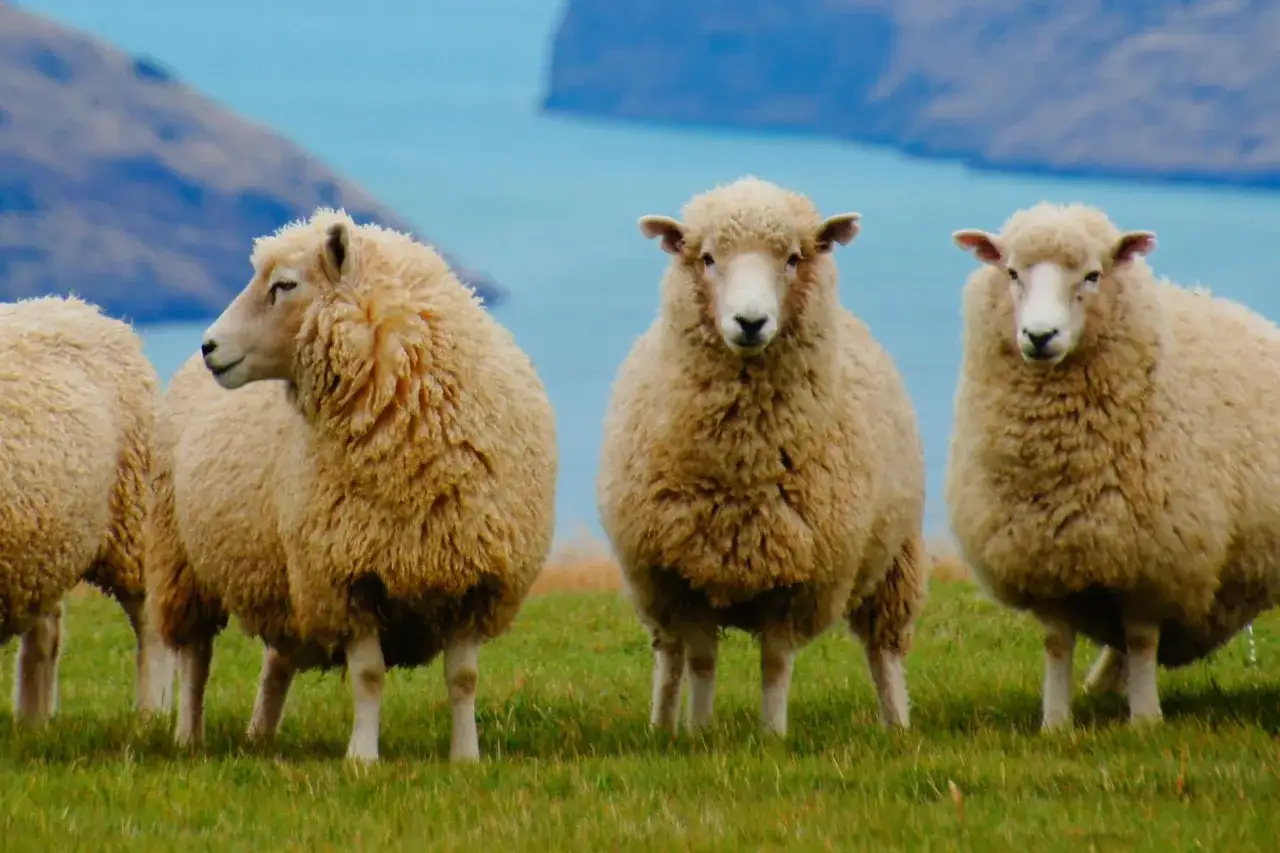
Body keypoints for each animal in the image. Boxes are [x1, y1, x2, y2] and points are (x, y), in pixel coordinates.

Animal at [0, 294, 174, 724]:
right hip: (44, 544)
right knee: (45, 630)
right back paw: (32, 721)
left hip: (134, 517)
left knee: (151, 624)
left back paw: (152, 715)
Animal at [146, 208, 558, 762]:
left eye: (284, 284)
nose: (209, 345)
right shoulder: (348, 575)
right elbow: (368, 676)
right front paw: (362, 757)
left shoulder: (475, 578)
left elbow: (464, 678)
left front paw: (465, 757)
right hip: (184, 562)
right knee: (196, 657)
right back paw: (190, 736)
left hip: (285, 576)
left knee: (276, 661)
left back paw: (261, 734)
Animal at [597, 176, 929, 737]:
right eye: (707, 258)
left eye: (793, 258)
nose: (750, 322)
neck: (743, 463)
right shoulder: (685, 575)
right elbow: (701, 661)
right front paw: (698, 732)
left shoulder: (799, 580)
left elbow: (775, 664)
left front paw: (772, 735)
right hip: (654, 589)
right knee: (669, 657)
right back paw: (662, 726)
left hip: (895, 558)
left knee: (884, 650)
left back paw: (898, 726)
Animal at [947, 201, 1280, 730]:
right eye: (1012, 273)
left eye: (1093, 275)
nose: (1039, 336)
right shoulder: (1045, 557)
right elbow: (1057, 642)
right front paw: (1056, 723)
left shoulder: (1154, 558)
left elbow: (1142, 639)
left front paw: (1145, 720)